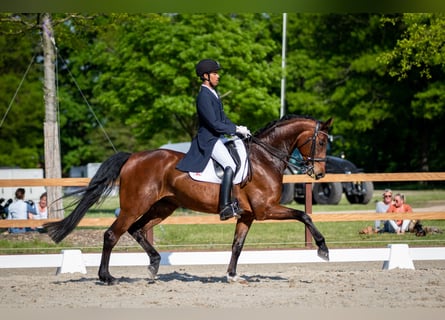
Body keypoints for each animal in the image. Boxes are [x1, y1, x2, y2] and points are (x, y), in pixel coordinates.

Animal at [44, 114, 332, 284]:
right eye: (320, 142)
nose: (319, 174)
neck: (264, 158)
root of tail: (133, 157)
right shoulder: (266, 209)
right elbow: (304, 214)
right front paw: (323, 249)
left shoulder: (249, 215)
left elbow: (237, 246)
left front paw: (231, 276)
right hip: (134, 205)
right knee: (112, 234)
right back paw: (107, 277)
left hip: (163, 206)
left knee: (137, 230)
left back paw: (154, 266)